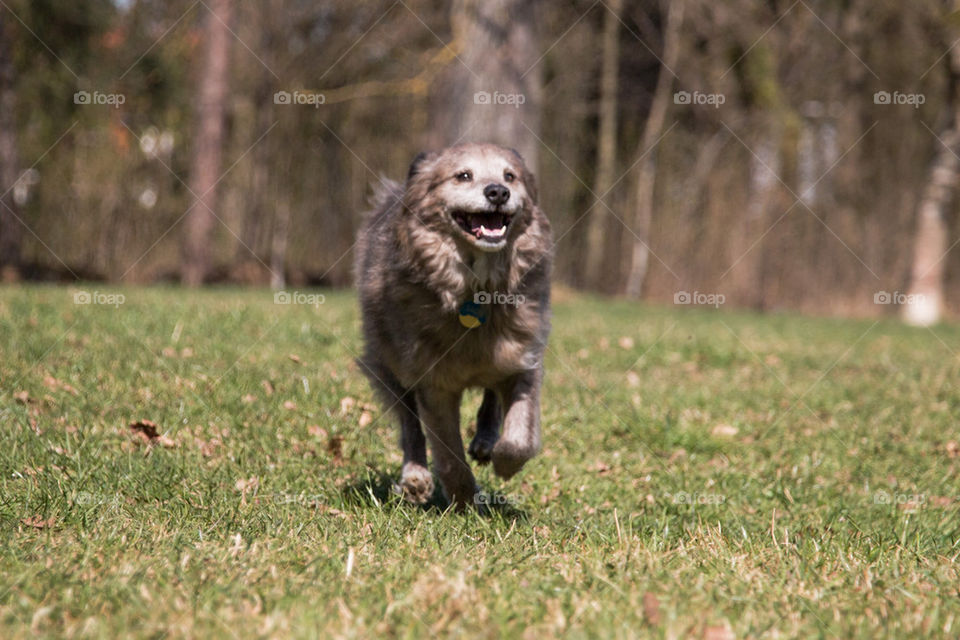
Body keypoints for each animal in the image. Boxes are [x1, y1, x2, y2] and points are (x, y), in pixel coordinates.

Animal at [358, 142, 556, 508]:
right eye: (463, 175)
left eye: (510, 176)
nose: (498, 191)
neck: (476, 288)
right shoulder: (433, 382)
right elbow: (448, 450)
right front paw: (464, 498)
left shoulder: (524, 356)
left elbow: (520, 434)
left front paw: (504, 462)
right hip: (389, 366)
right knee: (410, 424)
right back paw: (415, 478)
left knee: (492, 396)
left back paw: (486, 441)